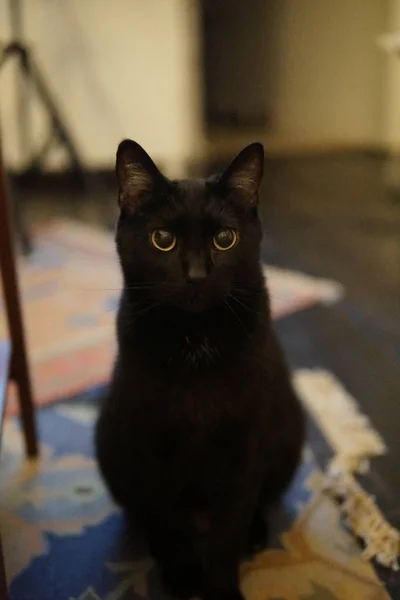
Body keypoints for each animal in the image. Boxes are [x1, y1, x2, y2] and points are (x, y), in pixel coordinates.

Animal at [95, 139, 304, 600]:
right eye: (162, 239)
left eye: (225, 239)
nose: (195, 275)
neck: (195, 342)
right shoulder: (150, 443)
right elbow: (167, 519)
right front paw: (181, 575)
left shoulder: (244, 445)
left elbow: (228, 533)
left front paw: (221, 589)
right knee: (147, 515)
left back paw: (256, 536)